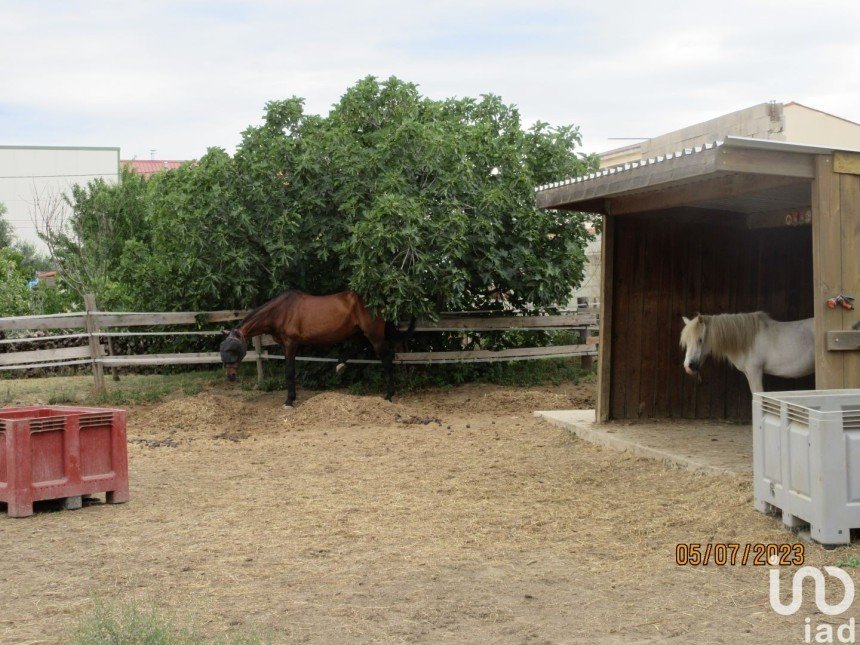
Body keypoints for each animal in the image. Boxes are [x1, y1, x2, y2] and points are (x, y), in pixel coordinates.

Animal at [217, 292, 414, 408]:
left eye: (234, 350)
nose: (231, 376)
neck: (281, 311)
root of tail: (379, 302)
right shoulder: (285, 345)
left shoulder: (291, 344)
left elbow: (289, 372)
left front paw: (289, 400)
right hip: (360, 332)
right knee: (361, 347)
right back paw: (340, 364)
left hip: (374, 334)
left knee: (386, 360)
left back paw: (389, 395)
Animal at [680, 312, 812, 392]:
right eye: (686, 341)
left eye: (700, 339)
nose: (688, 366)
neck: (747, 341)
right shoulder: (749, 373)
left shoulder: (755, 372)